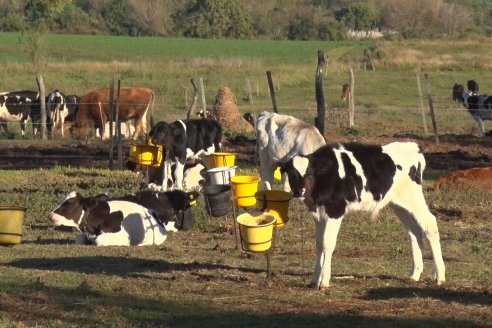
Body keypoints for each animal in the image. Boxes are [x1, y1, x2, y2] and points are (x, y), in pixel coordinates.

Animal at [280, 142, 446, 288]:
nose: (299, 191)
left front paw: (324, 281)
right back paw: (415, 274)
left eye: (309, 172)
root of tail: (414, 147)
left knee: (430, 224)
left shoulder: (335, 211)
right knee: (414, 231)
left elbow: (328, 244)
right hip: (399, 204)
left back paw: (439, 276)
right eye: (291, 174)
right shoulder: (319, 215)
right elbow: (319, 245)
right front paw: (314, 280)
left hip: (413, 198)